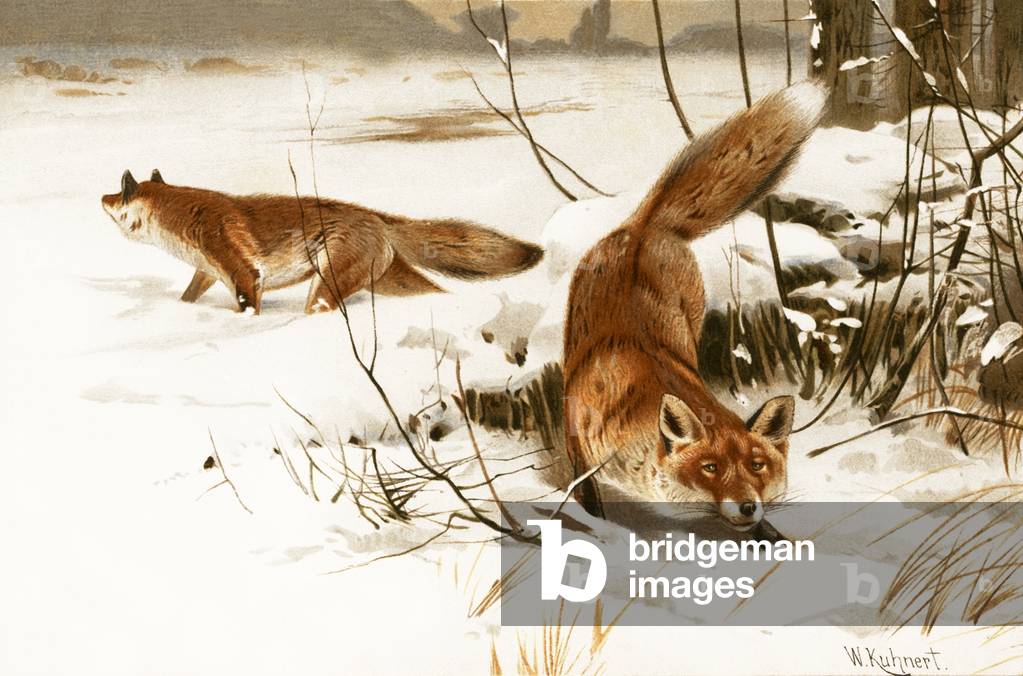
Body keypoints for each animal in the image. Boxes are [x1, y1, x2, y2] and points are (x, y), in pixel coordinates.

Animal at [100, 170, 543, 314]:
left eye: (119, 192)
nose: (100, 197)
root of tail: (377, 217)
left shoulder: (244, 275)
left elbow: (247, 308)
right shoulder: (208, 272)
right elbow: (188, 297)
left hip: (326, 287)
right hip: (389, 281)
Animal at [563, 82, 827, 532]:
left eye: (757, 465)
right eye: (710, 468)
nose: (748, 506)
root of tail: (643, 227)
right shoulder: (580, 441)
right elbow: (585, 493)